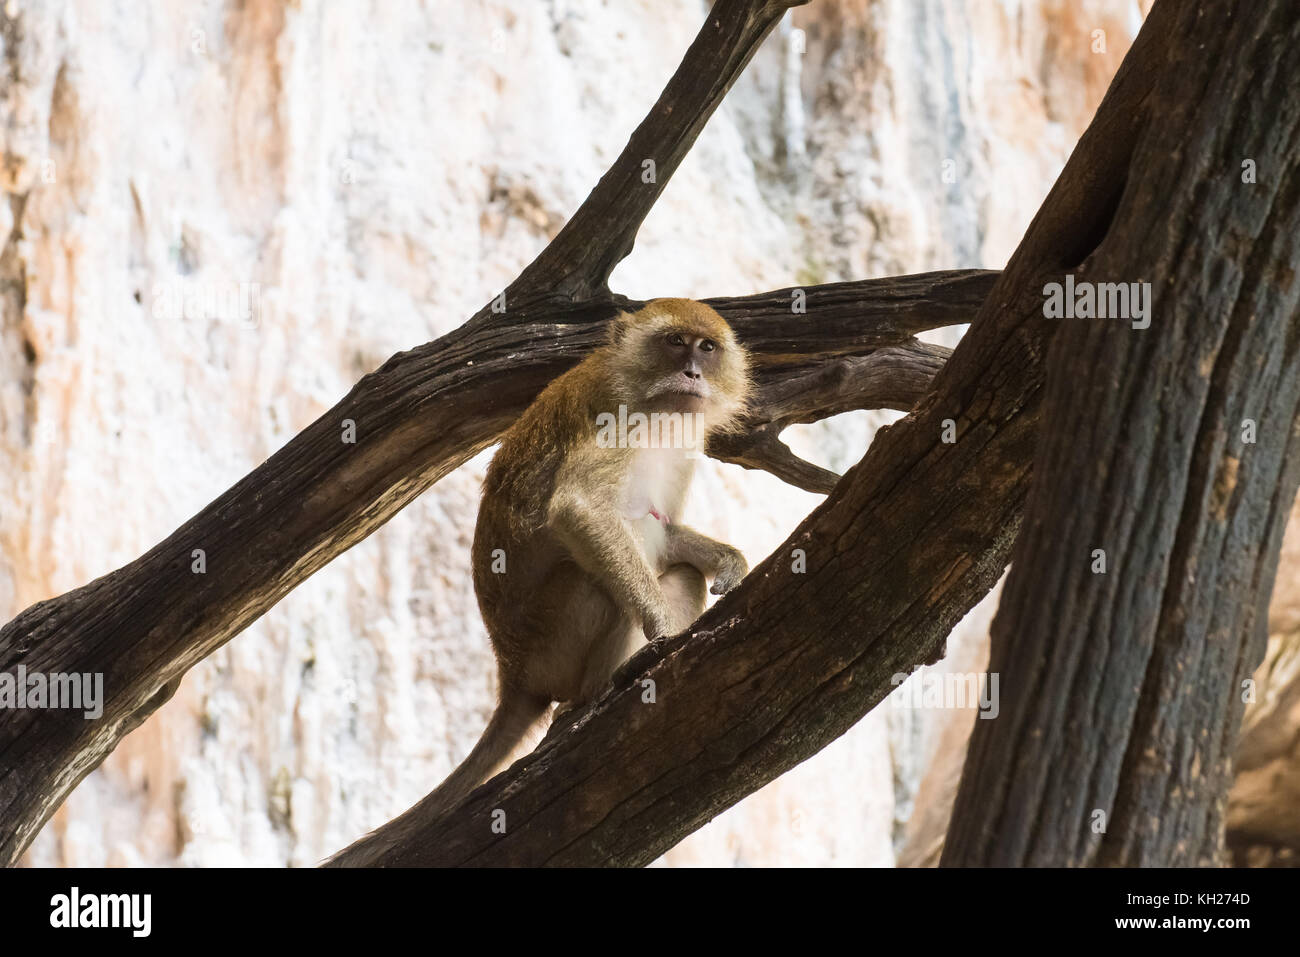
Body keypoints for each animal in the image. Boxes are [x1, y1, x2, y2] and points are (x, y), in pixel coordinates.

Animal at [429, 298, 751, 816]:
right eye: (675, 341)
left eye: (707, 347)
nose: (692, 372)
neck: (657, 411)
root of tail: (512, 675)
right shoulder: (617, 421)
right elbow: (579, 510)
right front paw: (666, 630)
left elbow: (666, 531)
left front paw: (730, 564)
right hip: (548, 648)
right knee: (594, 581)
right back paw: (595, 692)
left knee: (680, 572)